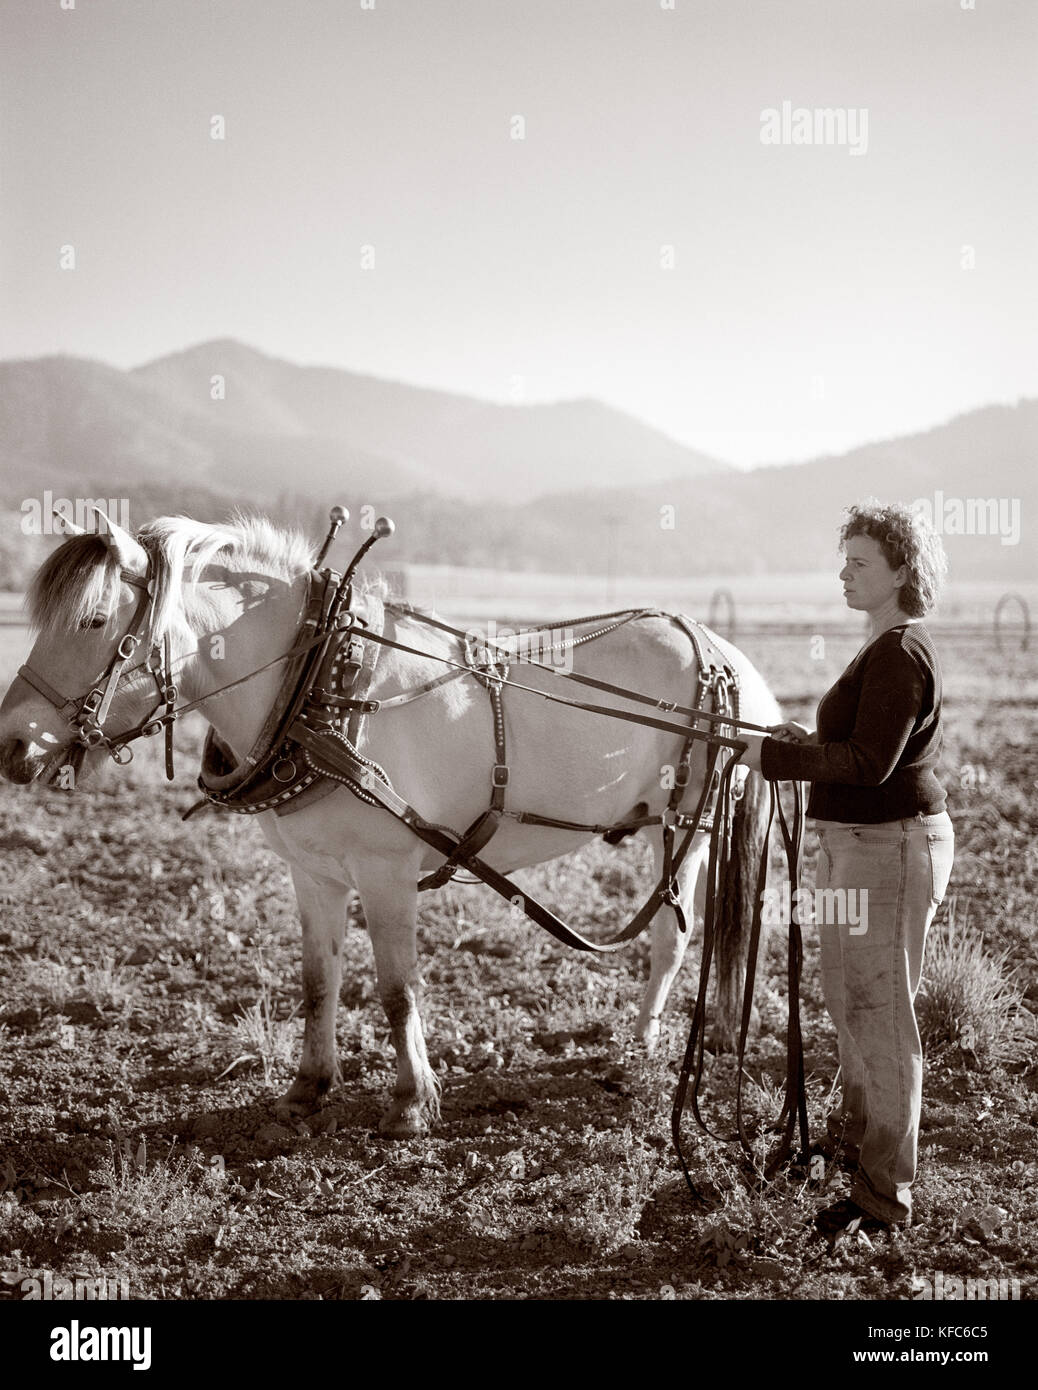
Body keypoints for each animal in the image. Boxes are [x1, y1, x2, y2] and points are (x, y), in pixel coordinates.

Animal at [0, 508, 783, 1138]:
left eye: (94, 622)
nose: (11, 744)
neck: (316, 690)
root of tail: (724, 652)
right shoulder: (313, 873)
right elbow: (319, 981)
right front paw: (308, 1087)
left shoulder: (386, 874)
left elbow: (396, 988)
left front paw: (410, 1102)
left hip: (684, 827)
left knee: (670, 938)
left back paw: (636, 1050)